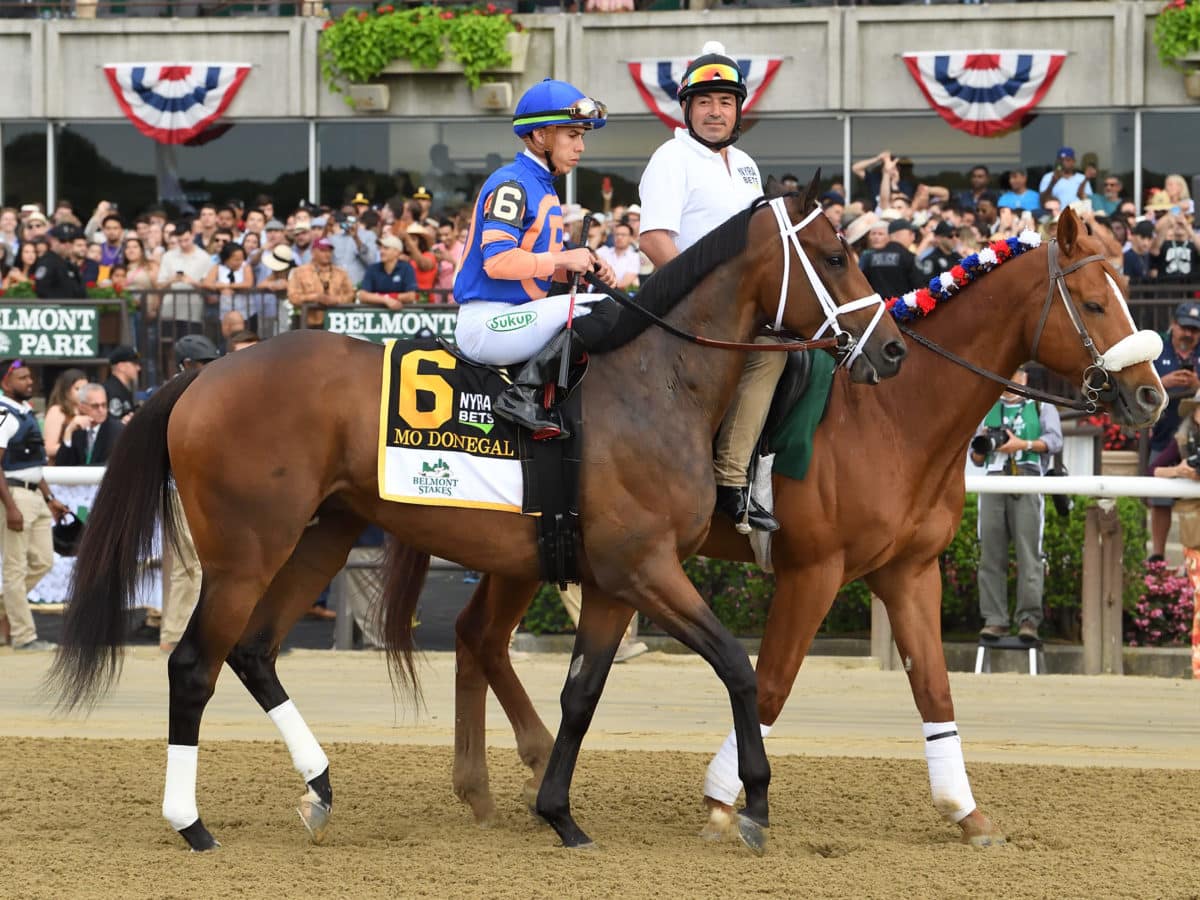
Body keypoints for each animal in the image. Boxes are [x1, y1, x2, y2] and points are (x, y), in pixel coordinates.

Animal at [49, 181, 907, 854]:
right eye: (835, 256)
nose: (894, 351)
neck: (656, 382)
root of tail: (198, 378)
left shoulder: (614, 579)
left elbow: (583, 693)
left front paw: (559, 813)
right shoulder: (646, 566)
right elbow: (737, 665)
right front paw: (753, 801)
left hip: (323, 533)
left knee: (257, 650)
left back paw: (320, 785)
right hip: (247, 550)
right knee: (195, 663)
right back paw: (190, 821)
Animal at [448, 210, 1161, 844]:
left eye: (1126, 295)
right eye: (1095, 303)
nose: (1152, 394)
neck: (891, 416)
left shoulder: (908, 571)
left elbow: (933, 687)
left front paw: (966, 811)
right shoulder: (813, 571)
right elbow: (770, 683)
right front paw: (724, 802)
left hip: (528, 546)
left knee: (477, 635)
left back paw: (497, 780)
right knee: (483, 636)